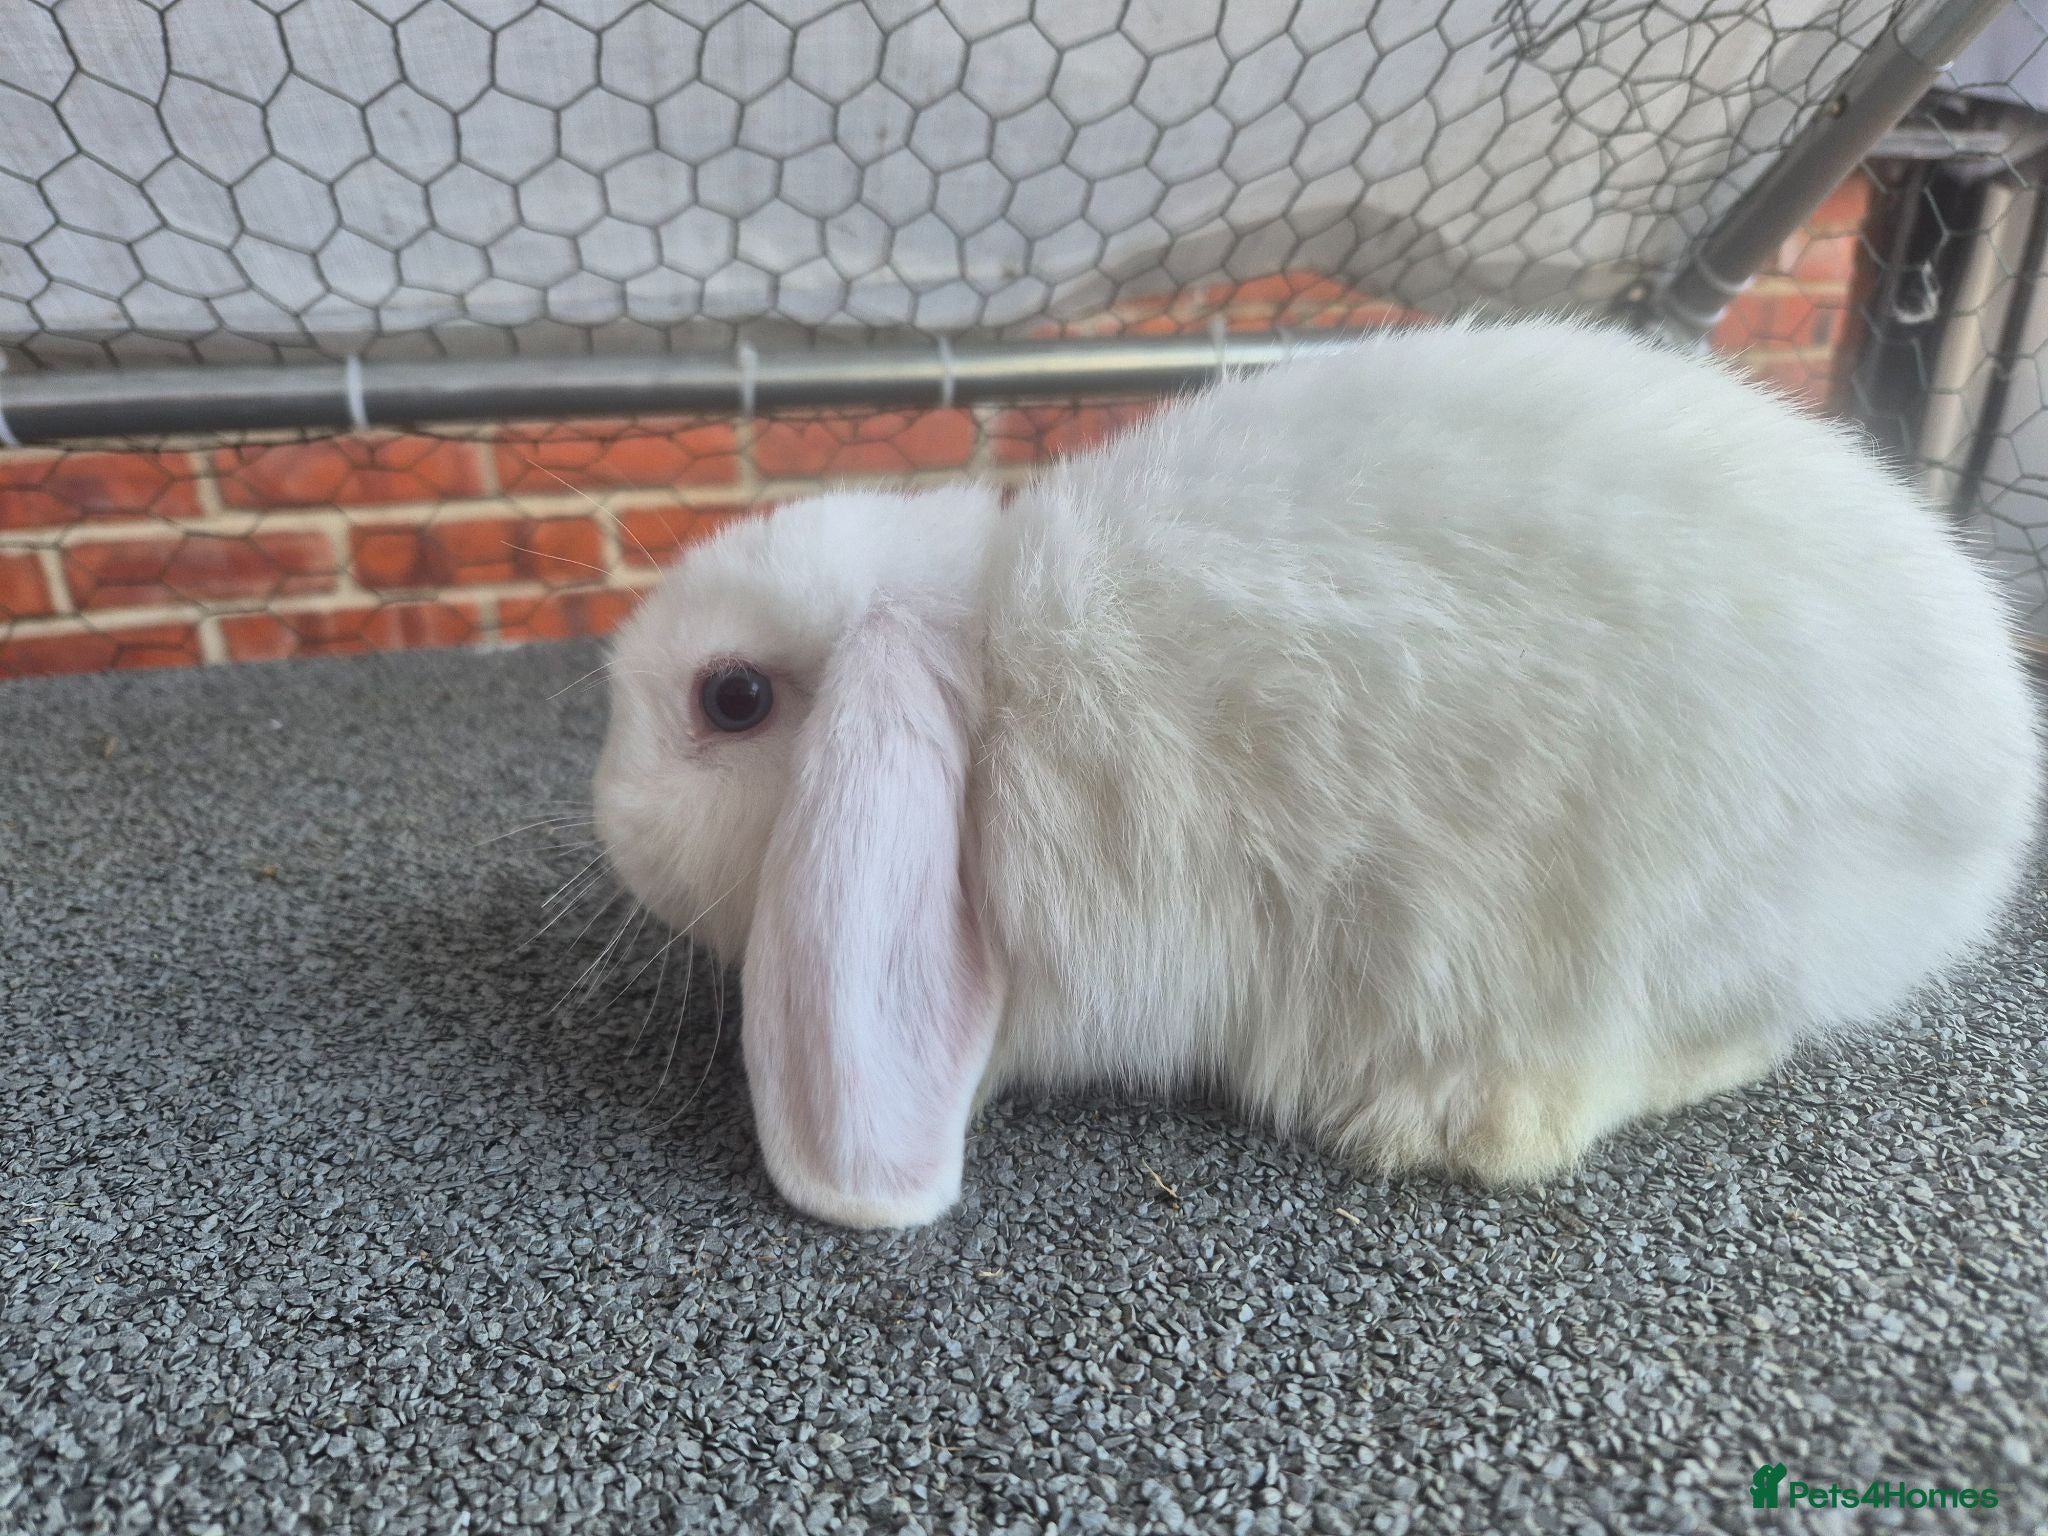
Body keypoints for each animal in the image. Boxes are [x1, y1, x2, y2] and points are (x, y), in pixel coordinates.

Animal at [594, 317, 2041, 1230]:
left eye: (730, 698)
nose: (608, 821)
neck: (992, 681)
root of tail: (1987, 786)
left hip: (1659, 909)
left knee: (1719, 1041)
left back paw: (1450, 1117)